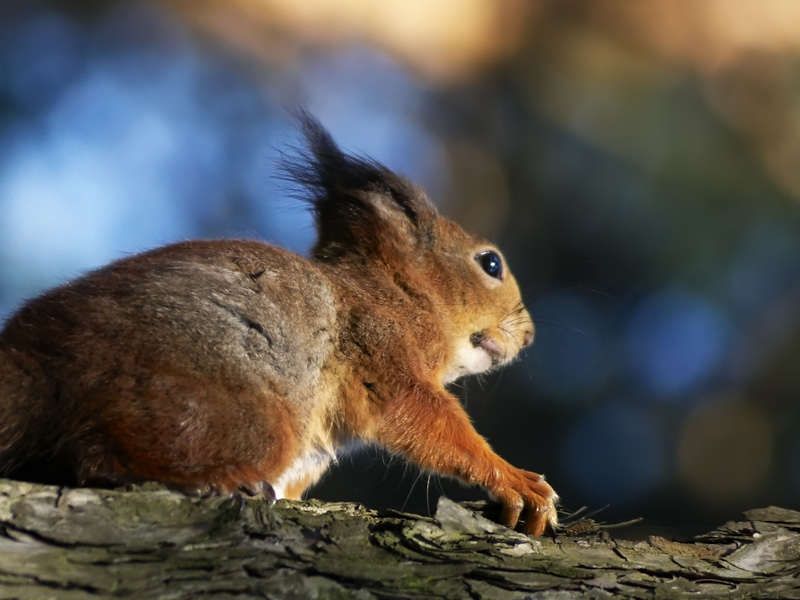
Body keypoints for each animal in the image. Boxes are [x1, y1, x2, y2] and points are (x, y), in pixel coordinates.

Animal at [0, 114, 558, 536]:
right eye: (490, 263)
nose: (531, 336)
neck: (398, 294)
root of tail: (38, 370)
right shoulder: (381, 350)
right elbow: (428, 420)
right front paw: (515, 480)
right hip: (236, 414)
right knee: (94, 454)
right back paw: (214, 479)